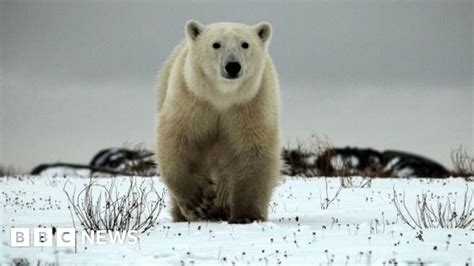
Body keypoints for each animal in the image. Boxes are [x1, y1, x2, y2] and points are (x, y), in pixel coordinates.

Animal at [156, 20, 282, 222]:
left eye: (245, 44)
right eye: (216, 44)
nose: (233, 66)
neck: (222, 97)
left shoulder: (250, 103)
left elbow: (254, 148)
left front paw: (246, 215)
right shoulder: (192, 99)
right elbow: (176, 138)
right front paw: (198, 202)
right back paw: (186, 214)